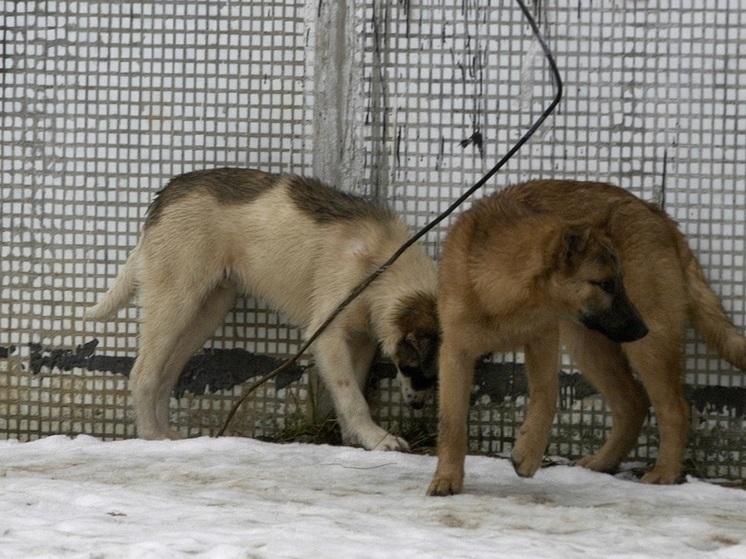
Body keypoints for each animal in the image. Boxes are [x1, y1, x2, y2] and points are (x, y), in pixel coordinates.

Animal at [424, 178, 744, 494]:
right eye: (605, 284)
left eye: (620, 281)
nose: (642, 329)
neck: (502, 292)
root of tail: (655, 213)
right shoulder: (455, 355)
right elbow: (452, 423)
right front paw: (447, 478)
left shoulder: (544, 341)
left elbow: (548, 396)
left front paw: (528, 453)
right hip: (589, 345)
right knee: (633, 403)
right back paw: (605, 462)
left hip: (642, 348)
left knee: (674, 408)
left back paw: (664, 472)